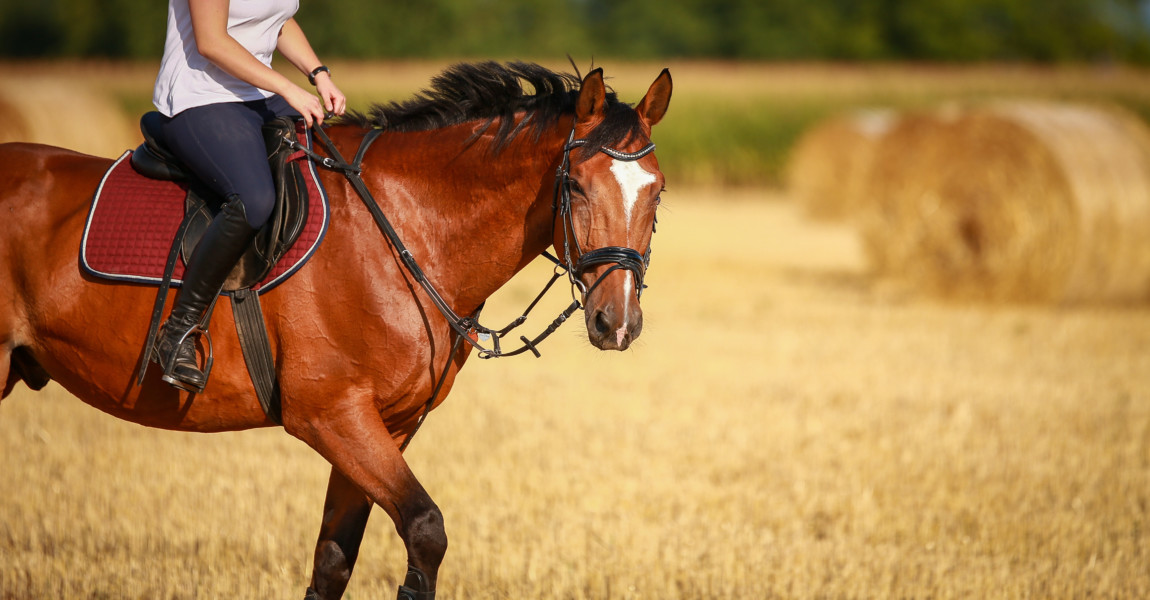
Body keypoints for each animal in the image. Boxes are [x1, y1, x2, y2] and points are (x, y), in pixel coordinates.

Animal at [0, 61, 671, 597]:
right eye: (575, 185)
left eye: (658, 192)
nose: (617, 322)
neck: (405, 226)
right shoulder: (331, 415)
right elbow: (425, 531)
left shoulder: (385, 426)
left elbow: (332, 561)